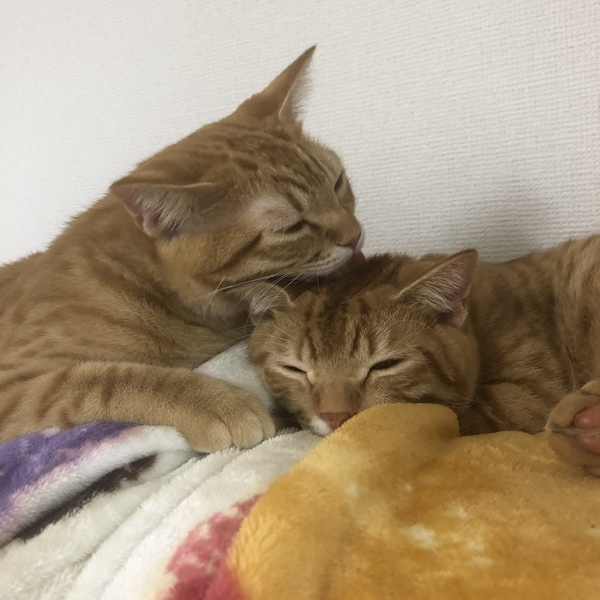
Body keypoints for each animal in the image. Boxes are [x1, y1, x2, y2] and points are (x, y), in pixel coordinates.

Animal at [0, 46, 364, 451]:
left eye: (338, 183)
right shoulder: (16, 385)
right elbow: (104, 379)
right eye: (291, 227)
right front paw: (215, 403)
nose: (355, 235)